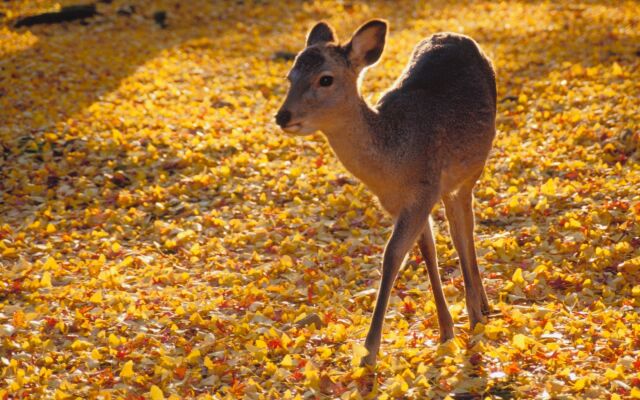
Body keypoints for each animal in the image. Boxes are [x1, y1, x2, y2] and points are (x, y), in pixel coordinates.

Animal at [274, 19, 496, 368]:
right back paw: (481, 307)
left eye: (326, 79)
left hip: (472, 170)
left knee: (464, 229)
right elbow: (426, 251)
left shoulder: (423, 192)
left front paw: (369, 351)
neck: (392, 165)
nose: (283, 116)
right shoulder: (401, 204)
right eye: (290, 76)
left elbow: (392, 256)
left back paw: (477, 312)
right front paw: (446, 330)